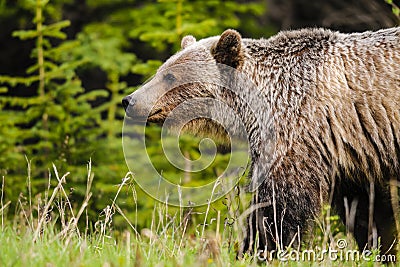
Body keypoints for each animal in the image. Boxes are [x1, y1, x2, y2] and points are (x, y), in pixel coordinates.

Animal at [123, 27, 400, 258]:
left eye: (170, 76)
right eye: (159, 71)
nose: (130, 100)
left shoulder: (299, 129)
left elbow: (278, 203)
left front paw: (255, 250)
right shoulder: (353, 147)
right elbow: (367, 207)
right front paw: (381, 248)